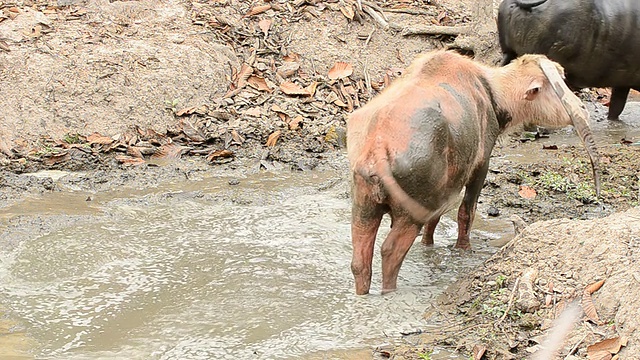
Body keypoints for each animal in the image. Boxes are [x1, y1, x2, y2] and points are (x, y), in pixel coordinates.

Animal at [344, 50, 600, 296]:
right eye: (561, 79)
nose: (582, 107)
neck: (490, 92)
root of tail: (378, 148)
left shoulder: (446, 187)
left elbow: (436, 219)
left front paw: (428, 244)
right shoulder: (481, 164)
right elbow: (466, 211)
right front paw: (463, 248)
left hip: (364, 203)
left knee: (360, 261)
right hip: (410, 212)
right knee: (390, 251)